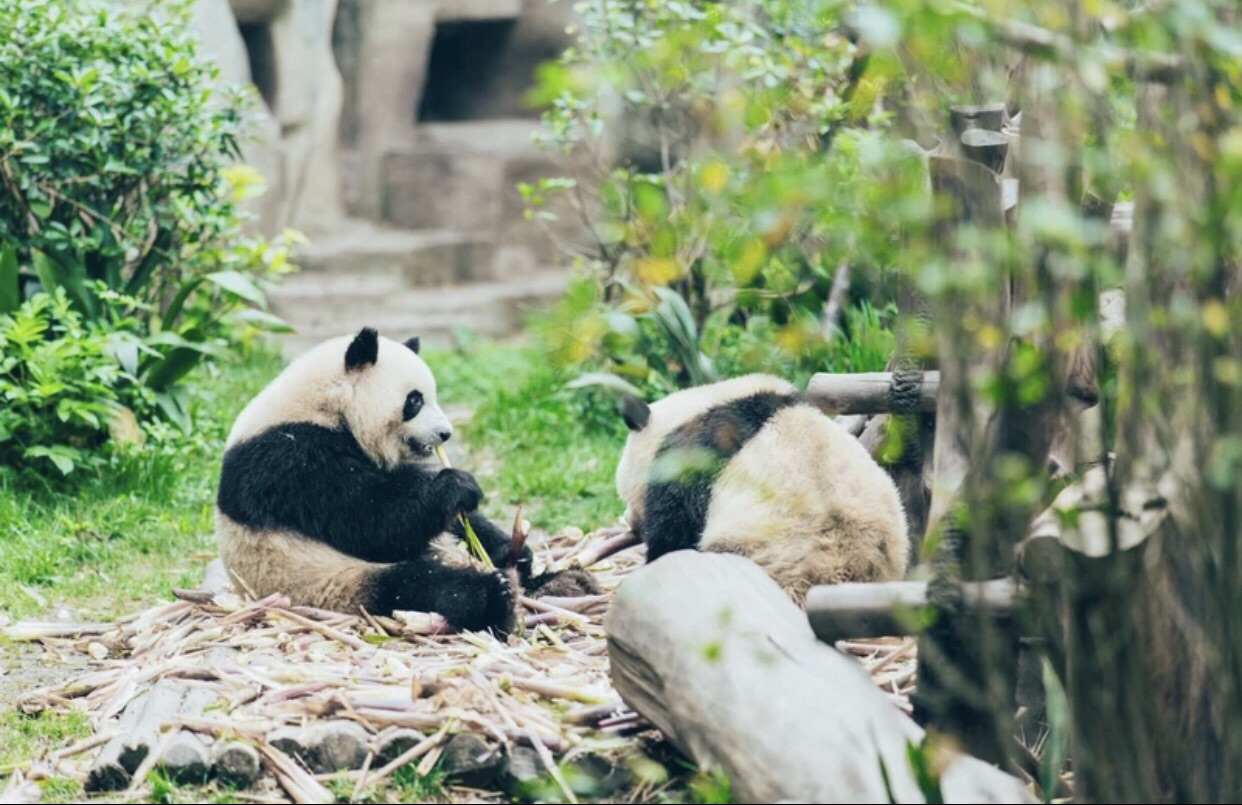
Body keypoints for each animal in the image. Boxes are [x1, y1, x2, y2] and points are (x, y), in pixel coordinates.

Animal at [214, 327, 596, 636]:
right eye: (414, 400)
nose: (446, 433)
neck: (323, 404)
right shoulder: (290, 460)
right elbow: (370, 524)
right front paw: (457, 485)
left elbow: (432, 511)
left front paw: (507, 547)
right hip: (325, 581)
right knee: (414, 585)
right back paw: (495, 596)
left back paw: (564, 581)